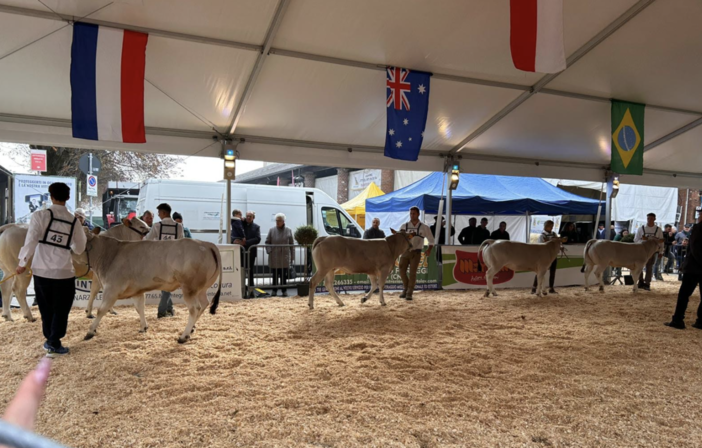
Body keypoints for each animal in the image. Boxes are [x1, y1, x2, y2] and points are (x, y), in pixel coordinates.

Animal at [74, 228, 223, 344]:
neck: (108, 255)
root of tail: (206, 244)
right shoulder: (136, 291)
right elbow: (139, 308)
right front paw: (143, 327)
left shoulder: (111, 289)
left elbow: (101, 310)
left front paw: (90, 332)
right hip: (201, 288)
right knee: (204, 304)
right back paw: (191, 329)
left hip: (189, 287)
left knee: (194, 308)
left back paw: (183, 336)